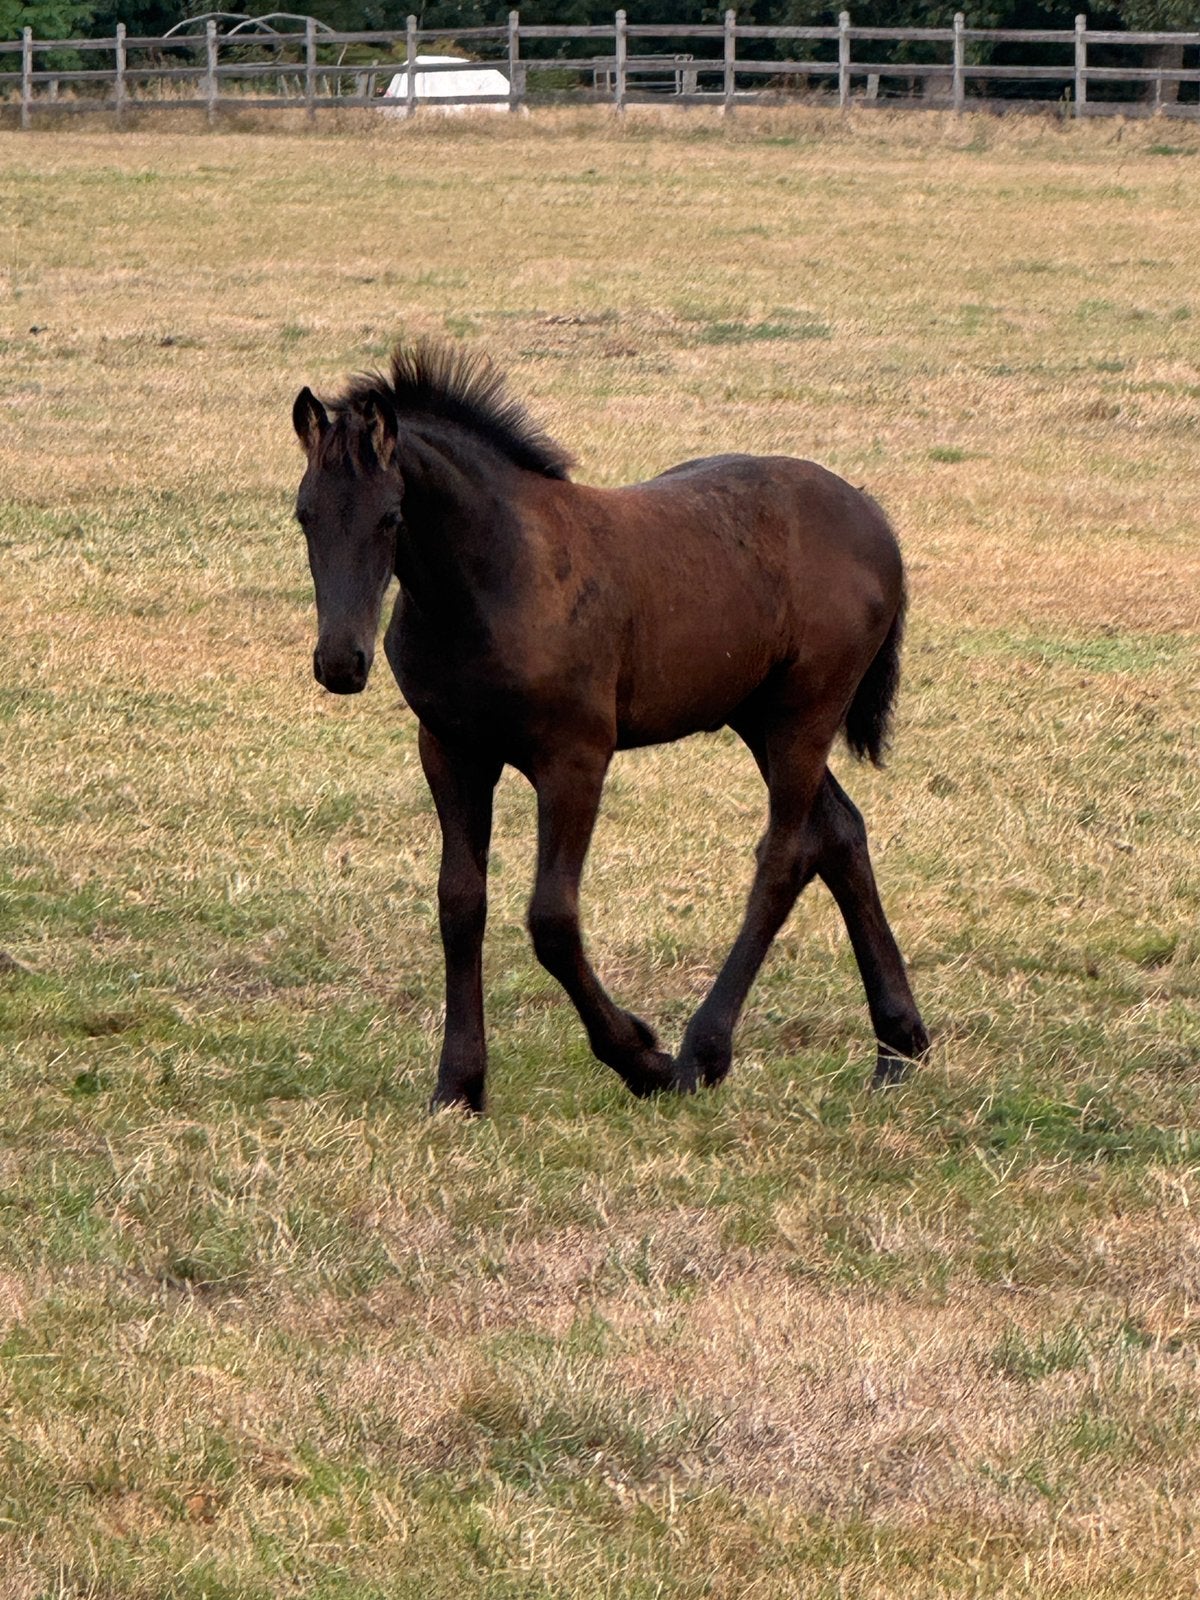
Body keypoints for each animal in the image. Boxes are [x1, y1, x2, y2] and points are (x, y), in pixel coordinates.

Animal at [292, 339, 929, 1113]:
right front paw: (458, 1084)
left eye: (390, 516)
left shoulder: (575, 759)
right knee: (839, 831)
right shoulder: (450, 749)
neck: (500, 577)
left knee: (787, 851)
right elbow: (459, 903)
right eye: (303, 515)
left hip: (803, 714)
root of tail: (873, 516)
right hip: (756, 715)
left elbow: (551, 920)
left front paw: (641, 1058)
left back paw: (702, 1052)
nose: (340, 662)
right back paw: (899, 1045)